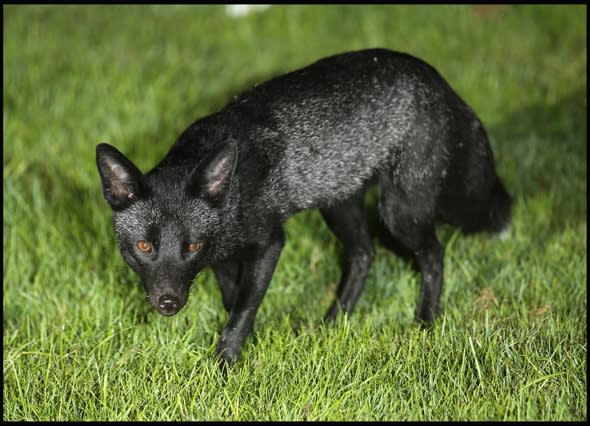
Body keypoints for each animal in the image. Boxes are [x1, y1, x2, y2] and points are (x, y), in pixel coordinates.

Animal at [95, 48, 512, 364]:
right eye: (144, 247)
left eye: (191, 246)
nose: (168, 302)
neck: (233, 194)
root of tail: (437, 80)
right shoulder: (223, 257)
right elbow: (233, 301)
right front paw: (243, 345)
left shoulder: (269, 243)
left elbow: (242, 310)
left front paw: (225, 363)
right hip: (339, 206)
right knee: (364, 254)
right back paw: (334, 322)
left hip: (400, 213)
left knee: (433, 255)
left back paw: (425, 320)